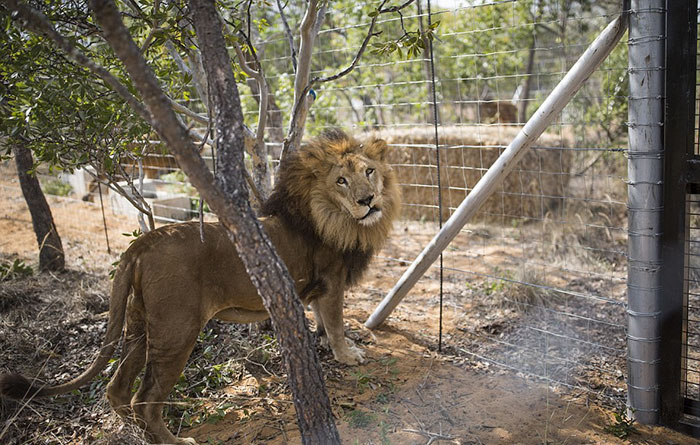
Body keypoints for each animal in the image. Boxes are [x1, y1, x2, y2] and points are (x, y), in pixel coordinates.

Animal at [0, 129, 400, 444]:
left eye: (369, 171)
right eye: (341, 181)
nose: (368, 200)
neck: (331, 216)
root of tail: (143, 243)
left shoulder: (318, 286)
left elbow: (322, 320)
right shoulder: (331, 282)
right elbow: (335, 323)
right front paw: (348, 354)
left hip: (140, 325)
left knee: (117, 389)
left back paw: (138, 436)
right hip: (178, 330)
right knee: (145, 399)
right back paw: (174, 441)